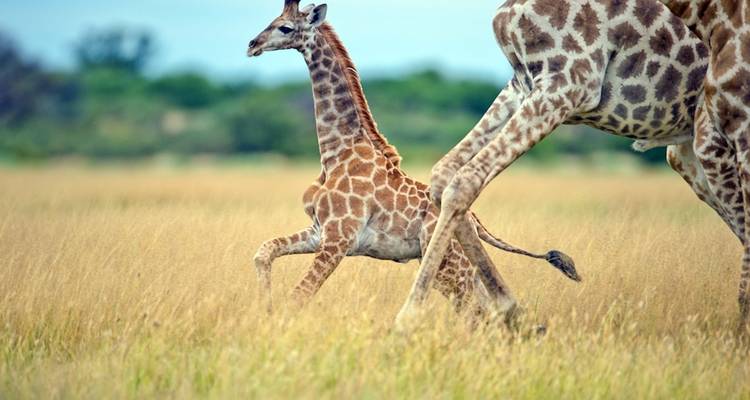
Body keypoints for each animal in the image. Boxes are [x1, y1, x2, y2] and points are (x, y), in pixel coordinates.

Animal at [247, 0, 580, 316]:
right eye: (273, 21)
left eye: (286, 28)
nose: (252, 45)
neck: (337, 152)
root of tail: (474, 221)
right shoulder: (320, 232)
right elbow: (264, 251)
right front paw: (265, 308)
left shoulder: (339, 238)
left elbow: (299, 295)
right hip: (453, 265)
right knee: (482, 307)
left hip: (449, 265)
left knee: (474, 310)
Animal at [395, 0, 714, 328]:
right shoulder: (524, 83)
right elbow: (444, 174)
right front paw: (511, 311)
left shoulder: (569, 83)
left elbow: (464, 181)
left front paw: (409, 317)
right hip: (688, 152)